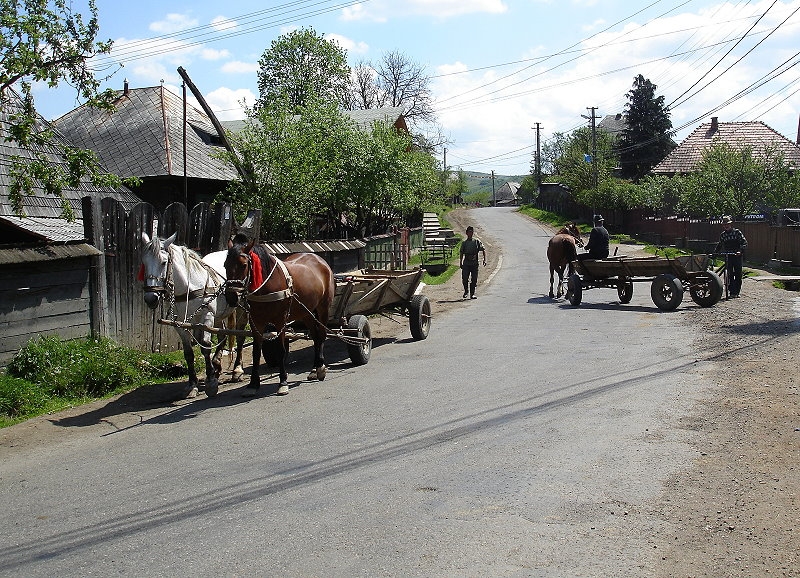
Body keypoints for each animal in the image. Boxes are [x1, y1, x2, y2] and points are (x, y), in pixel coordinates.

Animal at [141, 231, 245, 396]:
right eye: (144, 263)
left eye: (164, 262)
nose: (151, 298)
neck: (189, 287)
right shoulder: (180, 324)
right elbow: (188, 352)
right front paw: (192, 384)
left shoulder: (207, 316)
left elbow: (205, 346)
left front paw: (210, 382)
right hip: (219, 315)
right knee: (222, 334)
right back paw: (217, 366)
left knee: (240, 337)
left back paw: (237, 370)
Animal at [225, 238, 334, 396]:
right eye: (225, 265)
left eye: (243, 265)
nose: (231, 297)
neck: (266, 286)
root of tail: (320, 260)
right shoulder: (256, 322)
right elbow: (256, 352)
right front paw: (253, 384)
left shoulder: (280, 321)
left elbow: (280, 351)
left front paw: (283, 382)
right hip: (306, 312)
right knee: (315, 337)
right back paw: (314, 368)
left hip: (323, 308)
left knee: (322, 335)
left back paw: (320, 368)